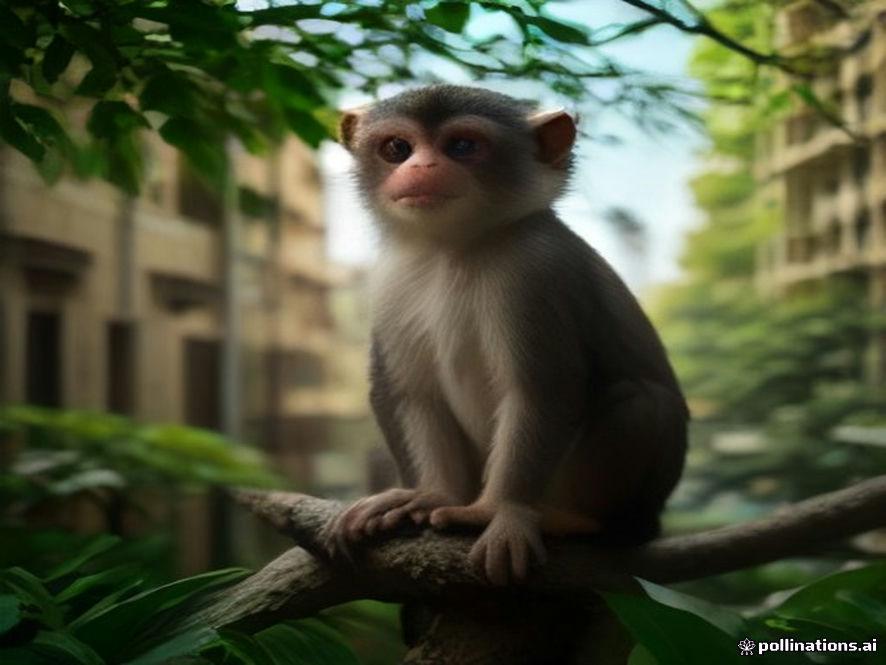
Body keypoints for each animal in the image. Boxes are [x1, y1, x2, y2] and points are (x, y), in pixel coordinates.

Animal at [322, 85, 688, 586]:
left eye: (462, 146)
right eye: (397, 148)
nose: (421, 167)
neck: (455, 249)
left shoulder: (535, 272)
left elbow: (541, 391)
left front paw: (501, 512)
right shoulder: (393, 281)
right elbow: (410, 392)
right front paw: (431, 494)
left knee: (642, 404)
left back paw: (578, 520)